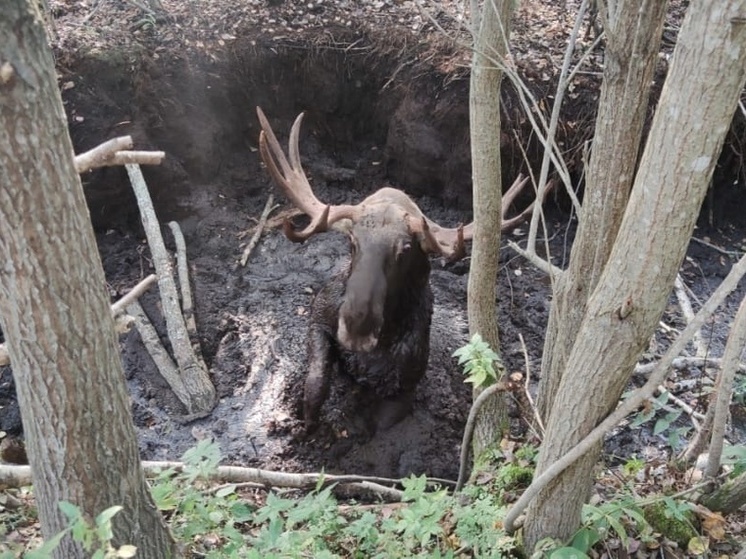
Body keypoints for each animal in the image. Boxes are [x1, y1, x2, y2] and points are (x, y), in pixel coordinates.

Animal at [256, 108, 536, 434]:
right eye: (352, 240)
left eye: (405, 248)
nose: (357, 328)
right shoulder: (318, 318)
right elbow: (315, 383)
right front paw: (310, 423)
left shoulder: (406, 388)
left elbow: (374, 422)